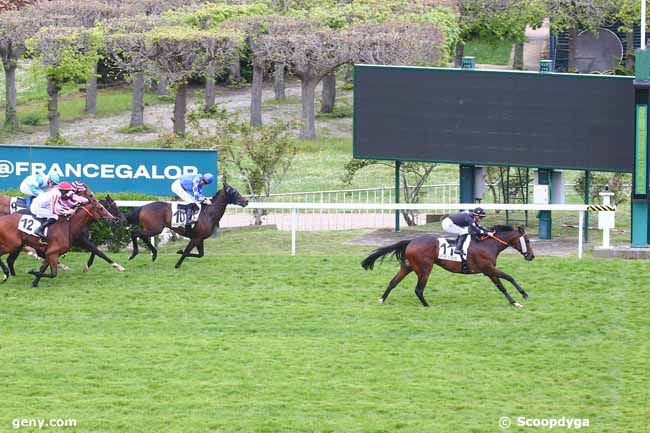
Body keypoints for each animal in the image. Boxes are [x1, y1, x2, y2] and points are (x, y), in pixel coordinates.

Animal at [360, 226, 532, 308]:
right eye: (528, 241)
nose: (531, 256)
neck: (488, 244)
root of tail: (410, 241)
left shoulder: (488, 271)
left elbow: (501, 286)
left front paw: (515, 303)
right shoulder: (488, 269)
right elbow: (509, 277)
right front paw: (524, 295)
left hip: (408, 267)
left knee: (393, 282)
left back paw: (382, 300)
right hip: (425, 269)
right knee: (418, 289)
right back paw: (427, 306)